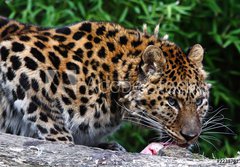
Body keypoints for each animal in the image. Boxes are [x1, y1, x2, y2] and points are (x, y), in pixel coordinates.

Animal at [0, 16, 210, 151]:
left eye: (199, 102)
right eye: (172, 102)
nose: (191, 136)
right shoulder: (16, 53)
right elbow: (45, 112)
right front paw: (63, 142)